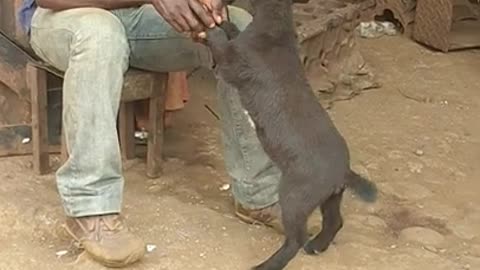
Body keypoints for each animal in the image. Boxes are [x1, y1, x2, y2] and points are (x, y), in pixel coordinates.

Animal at [204, 0, 380, 270]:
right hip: (330, 197)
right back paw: (317, 246)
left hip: (293, 197)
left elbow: (221, 44)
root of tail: (343, 172)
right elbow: (232, 30)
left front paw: (210, 27)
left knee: (295, 240)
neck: (275, 29)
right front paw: (222, 21)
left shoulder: (231, 64)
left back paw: (267, 265)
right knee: (334, 222)